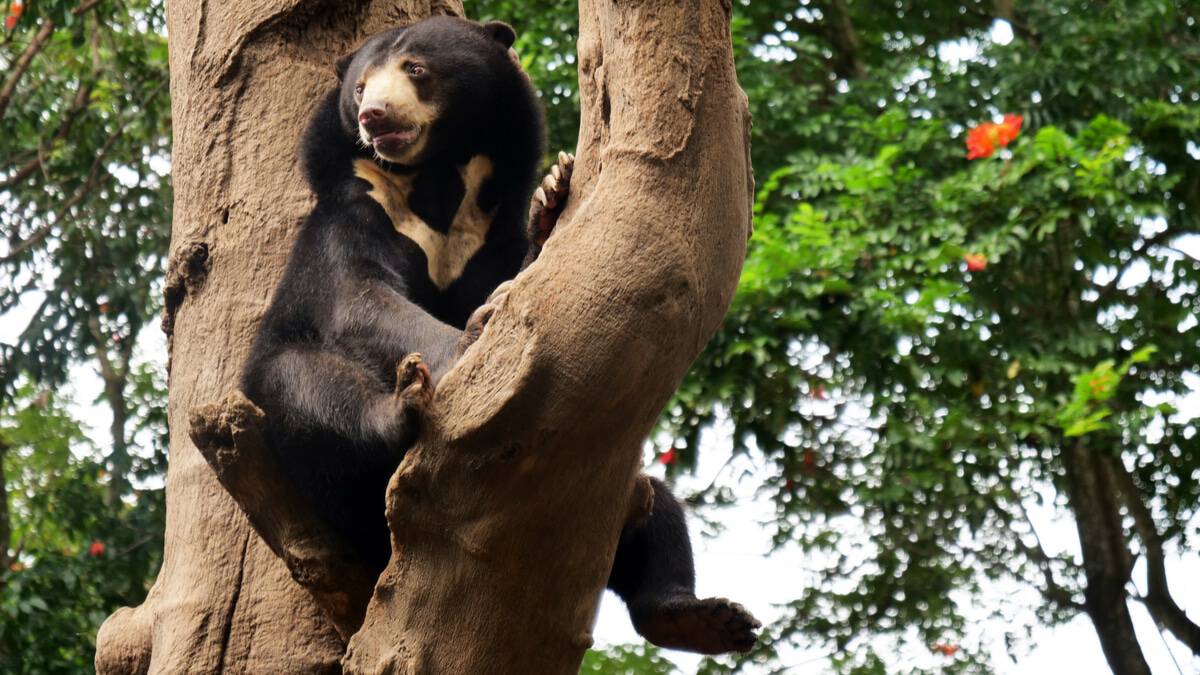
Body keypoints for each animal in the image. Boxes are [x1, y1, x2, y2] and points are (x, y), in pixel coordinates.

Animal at [238, 15, 753, 653]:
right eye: (358, 88)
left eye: (416, 69)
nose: (374, 117)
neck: (434, 182)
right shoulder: (355, 210)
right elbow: (359, 297)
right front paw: (475, 334)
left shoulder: (485, 231)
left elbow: (525, 272)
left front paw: (553, 192)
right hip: (313, 461)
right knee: (306, 384)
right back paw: (400, 407)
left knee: (657, 508)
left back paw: (702, 618)